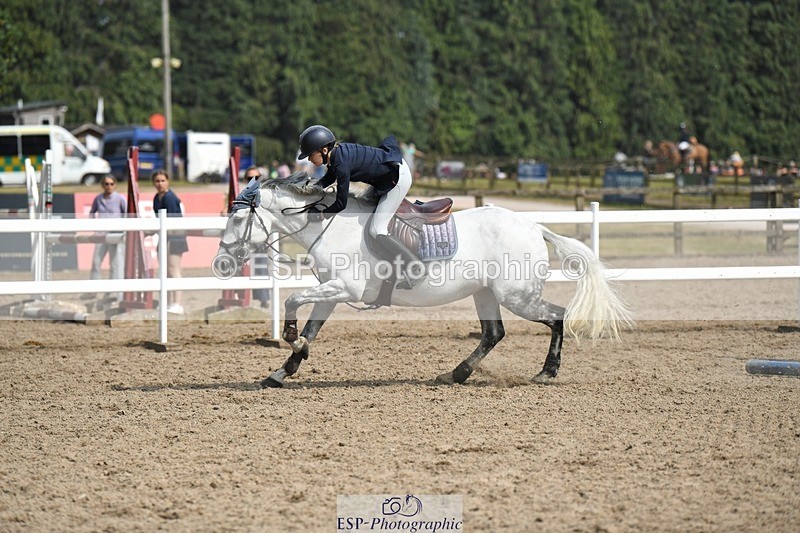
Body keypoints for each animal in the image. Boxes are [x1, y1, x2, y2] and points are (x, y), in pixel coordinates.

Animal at [213, 172, 632, 388]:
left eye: (238, 218)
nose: (220, 264)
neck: (330, 227)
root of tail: (533, 225)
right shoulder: (331, 294)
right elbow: (310, 330)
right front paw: (282, 369)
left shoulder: (343, 289)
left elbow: (291, 301)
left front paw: (289, 337)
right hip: (485, 293)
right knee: (493, 334)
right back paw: (457, 373)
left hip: (517, 296)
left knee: (557, 316)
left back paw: (546, 372)